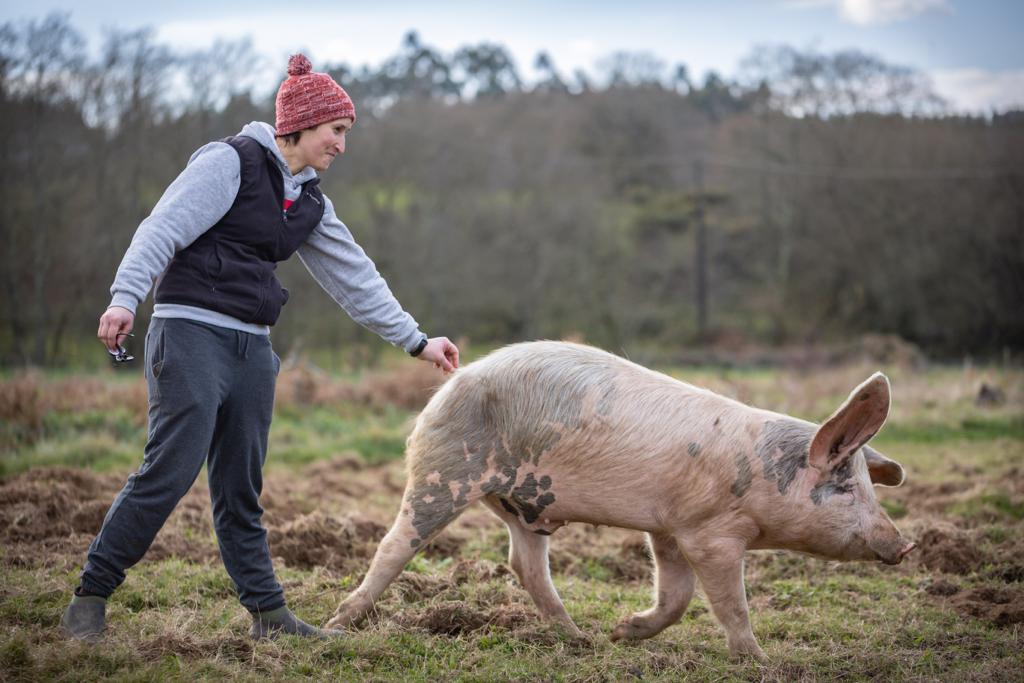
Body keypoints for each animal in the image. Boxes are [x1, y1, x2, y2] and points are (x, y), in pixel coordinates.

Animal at [323, 342, 917, 663]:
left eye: (868, 487)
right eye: (846, 488)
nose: (905, 545)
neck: (761, 477)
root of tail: (455, 380)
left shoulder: (669, 529)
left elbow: (676, 597)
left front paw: (621, 632)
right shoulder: (711, 533)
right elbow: (730, 602)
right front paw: (759, 659)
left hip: (522, 507)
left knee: (524, 565)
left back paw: (580, 639)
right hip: (443, 473)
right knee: (395, 544)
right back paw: (337, 626)